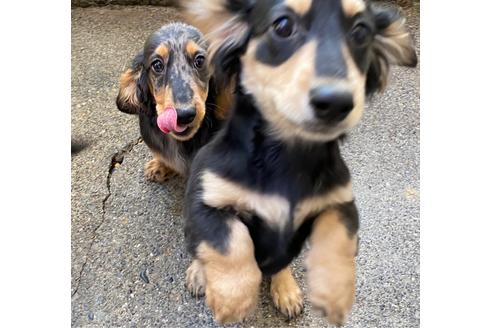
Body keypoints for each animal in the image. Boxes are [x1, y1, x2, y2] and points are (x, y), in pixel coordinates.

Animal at [181, 0, 416, 324]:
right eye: (282, 26)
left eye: (361, 31)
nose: (336, 103)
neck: (286, 155)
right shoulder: (207, 202)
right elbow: (230, 241)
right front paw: (233, 298)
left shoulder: (340, 201)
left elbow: (338, 236)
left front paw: (334, 292)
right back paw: (199, 274)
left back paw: (286, 289)